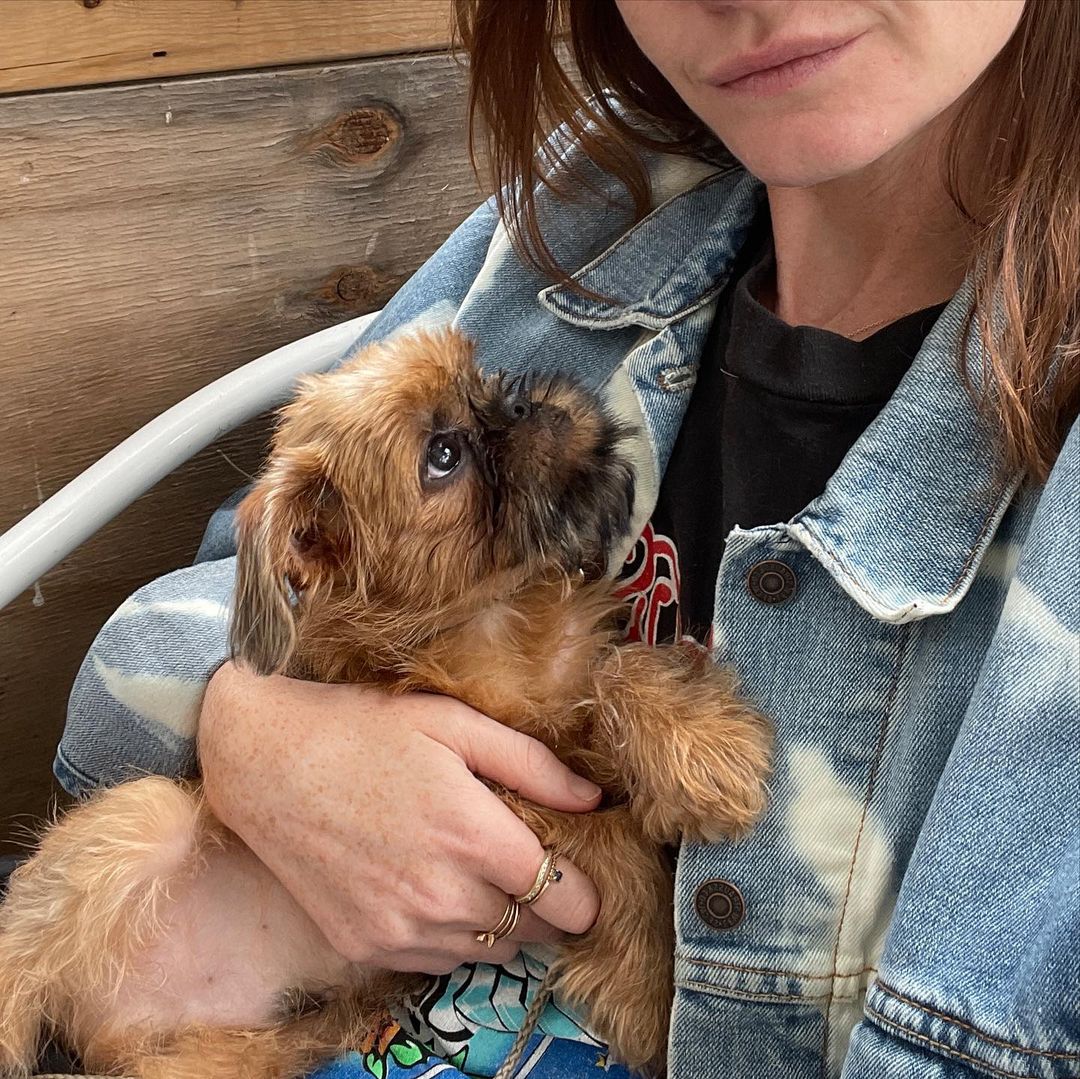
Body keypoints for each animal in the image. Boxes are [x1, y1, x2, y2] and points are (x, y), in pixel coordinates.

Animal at [0, 328, 771, 1078]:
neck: (492, 614)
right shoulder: (496, 783)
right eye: (443, 455)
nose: (521, 400)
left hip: (224, 1056)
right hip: (143, 814)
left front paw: (702, 746)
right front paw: (649, 980)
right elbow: (616, 839)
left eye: (484, 378)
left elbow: (620, 669)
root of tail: (108, 1029)